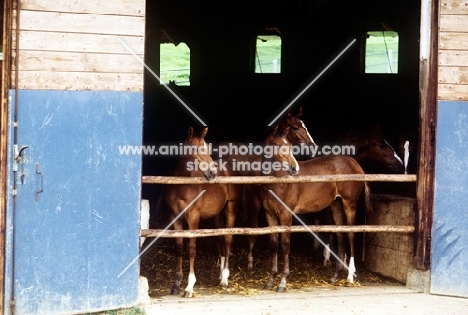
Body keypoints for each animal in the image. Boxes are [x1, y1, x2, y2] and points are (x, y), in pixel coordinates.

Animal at [163, 126, 241, 298]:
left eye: (208, 148)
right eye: (196, 148)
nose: (213, 173)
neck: (181, 186)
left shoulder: (193, 217)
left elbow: (191, 249)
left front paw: (189, 287)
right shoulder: (175, 218)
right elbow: (179, 248)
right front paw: (176, 285)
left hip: (230, 209)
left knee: (228, 240)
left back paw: (225, 279)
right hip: (217, 216)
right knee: (220, 241)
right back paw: (220, 277)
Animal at [260, 124, 372, 294]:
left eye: (290, 146)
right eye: (278, 145)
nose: (294, 169)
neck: (277, 181)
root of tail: (355, 163)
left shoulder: (286, 215)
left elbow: (285, 245)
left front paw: (283, 282)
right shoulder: (270, 214)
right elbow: (273, 244)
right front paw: (270, 280)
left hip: (349, 204)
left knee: (351, 235)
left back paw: (349, 278)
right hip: (336, 205)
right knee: (340, 235)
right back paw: (335, 276)